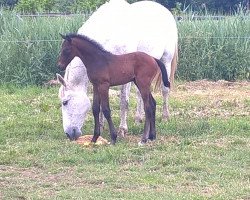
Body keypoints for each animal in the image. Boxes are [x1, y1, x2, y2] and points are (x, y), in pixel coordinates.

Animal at [60, 0, 178, 140]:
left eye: (65, 102)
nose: (69, 133)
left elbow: (123, 102)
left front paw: (122, 130)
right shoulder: (101, 83)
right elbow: (101, 105)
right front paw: (101, 127)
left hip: (166, 61)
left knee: (165, 91)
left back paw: (165, 117)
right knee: (141, 95)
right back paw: (138, 119)